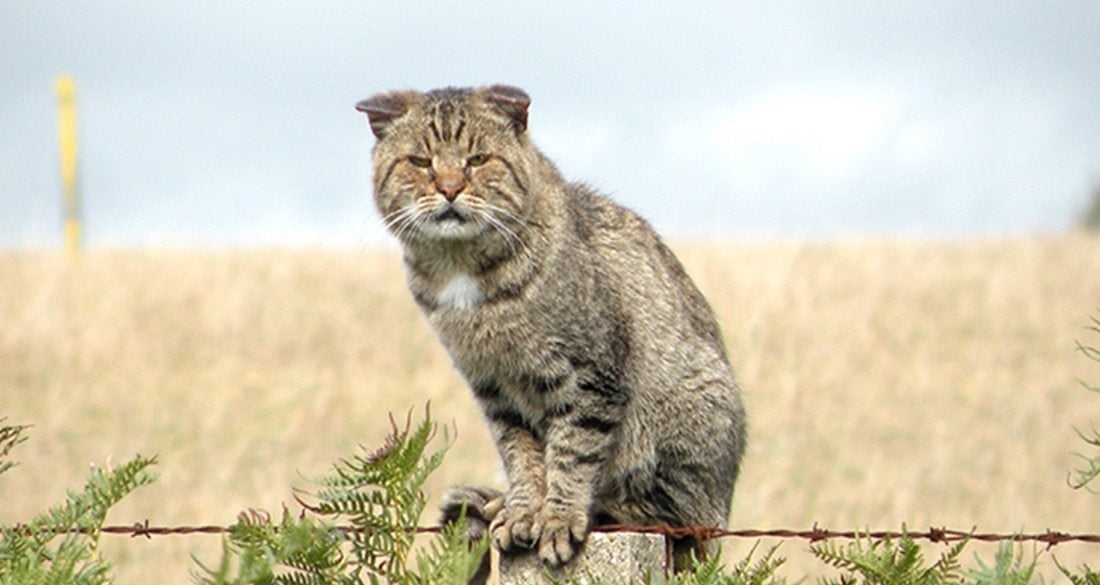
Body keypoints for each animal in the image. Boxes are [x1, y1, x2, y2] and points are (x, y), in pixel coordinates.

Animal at [354, 84, 748, 571]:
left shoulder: (589, 378)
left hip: (688, 416)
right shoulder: (495, 389)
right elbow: (522, 456)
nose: (449, 187)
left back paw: (605, 508)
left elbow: (572, 453)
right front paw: (524, 509)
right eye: (421, 162)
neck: (464, 273)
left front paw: (558, 518)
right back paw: (496, 503)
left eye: (477, 159)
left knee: (676, 516)